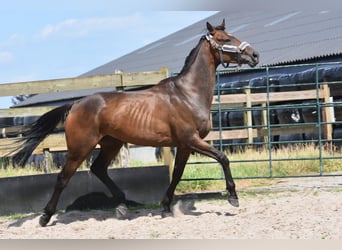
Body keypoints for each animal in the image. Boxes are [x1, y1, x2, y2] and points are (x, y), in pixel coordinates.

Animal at [12, 19, 260, 227]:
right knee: (63, 178)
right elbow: (223, 158)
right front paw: (233, 197)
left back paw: (122, 206)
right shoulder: (191, 139)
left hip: (111, 144)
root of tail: (76, 104)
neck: (187, 94)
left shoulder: (184, 145)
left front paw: (165, 207)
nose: (254, 54)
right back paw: (45, 217)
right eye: (225, 39)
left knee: (98, 169)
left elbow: (177, 174)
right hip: (80, 148)